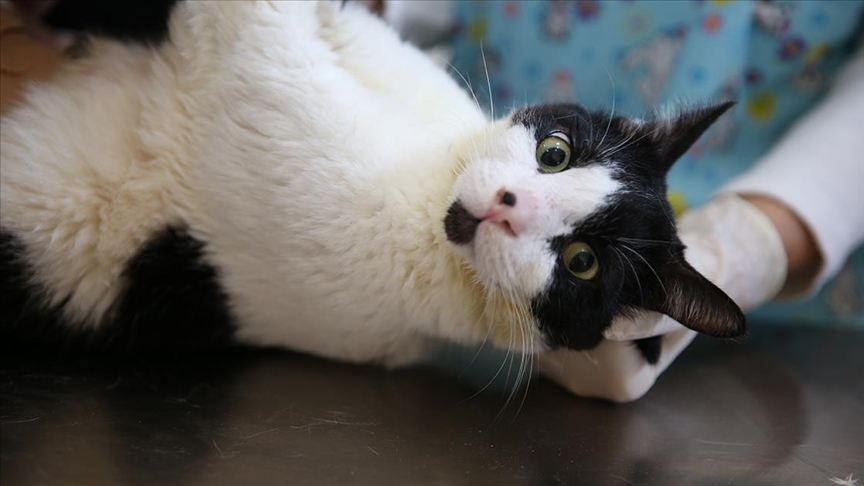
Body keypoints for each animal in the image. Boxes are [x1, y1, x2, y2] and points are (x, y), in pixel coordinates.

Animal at [0, 0, 744, 368]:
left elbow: (251, 20)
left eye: (582, 263)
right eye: (555, 153)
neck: (427, 168)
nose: (510, 204)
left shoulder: (253, 80)